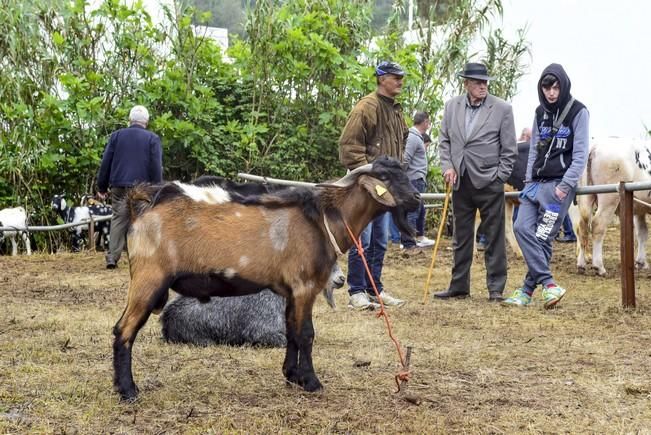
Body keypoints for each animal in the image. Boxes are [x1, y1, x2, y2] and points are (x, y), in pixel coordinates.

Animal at [576, 138, 651, 278]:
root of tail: (595, 146)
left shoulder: (639, 209)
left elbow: (642, 232)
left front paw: (641, 262)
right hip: (609, 198)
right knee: (598, 225)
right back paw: (599, 267)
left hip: (585, 196)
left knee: (582, 226)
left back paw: (581, 265)